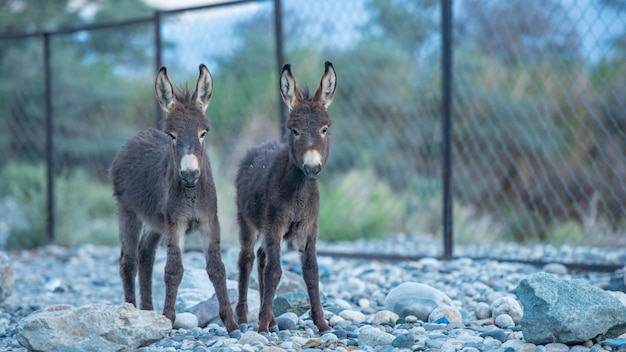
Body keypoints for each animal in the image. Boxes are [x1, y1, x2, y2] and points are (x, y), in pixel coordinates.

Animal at [108, 65, 238, 332]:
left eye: (203, 133)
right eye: (171, 135)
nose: (189, 174)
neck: (191, 192)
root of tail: (135, 137)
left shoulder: (210, 221)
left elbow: (217, 268)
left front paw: (231, 324)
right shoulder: (175, 223)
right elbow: (173, 270)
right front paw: (168, 318)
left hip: (156, 223)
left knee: (146, 255)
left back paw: (147, 312)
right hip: (127, 212)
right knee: (129, 261)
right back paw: (131, 311)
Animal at [234, 60, 336, 332]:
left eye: (324, 129)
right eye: (294, 130)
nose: (312, 167)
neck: (298, 188)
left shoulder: (309, 229)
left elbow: (311, 272)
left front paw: (322, 323)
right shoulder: (275, 226)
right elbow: (274, 272)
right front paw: (261, 327)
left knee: (261, 257)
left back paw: (269, 317)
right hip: (247, 222)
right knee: (247, 259)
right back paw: (244, 317)